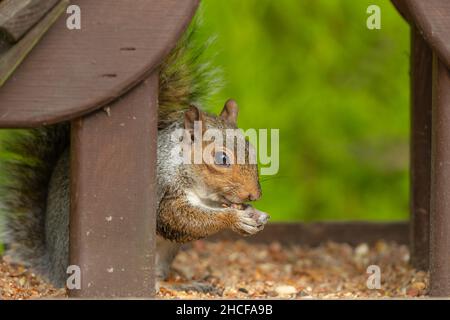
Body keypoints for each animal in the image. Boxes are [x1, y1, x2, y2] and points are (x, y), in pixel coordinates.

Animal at [0, 14, 268, 290]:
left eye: (251, 147)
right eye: (221, 158)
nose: (254, 194)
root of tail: (54, 267)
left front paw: (251, 213)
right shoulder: (165, 189)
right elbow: (177, 219)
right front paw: (235, 219)